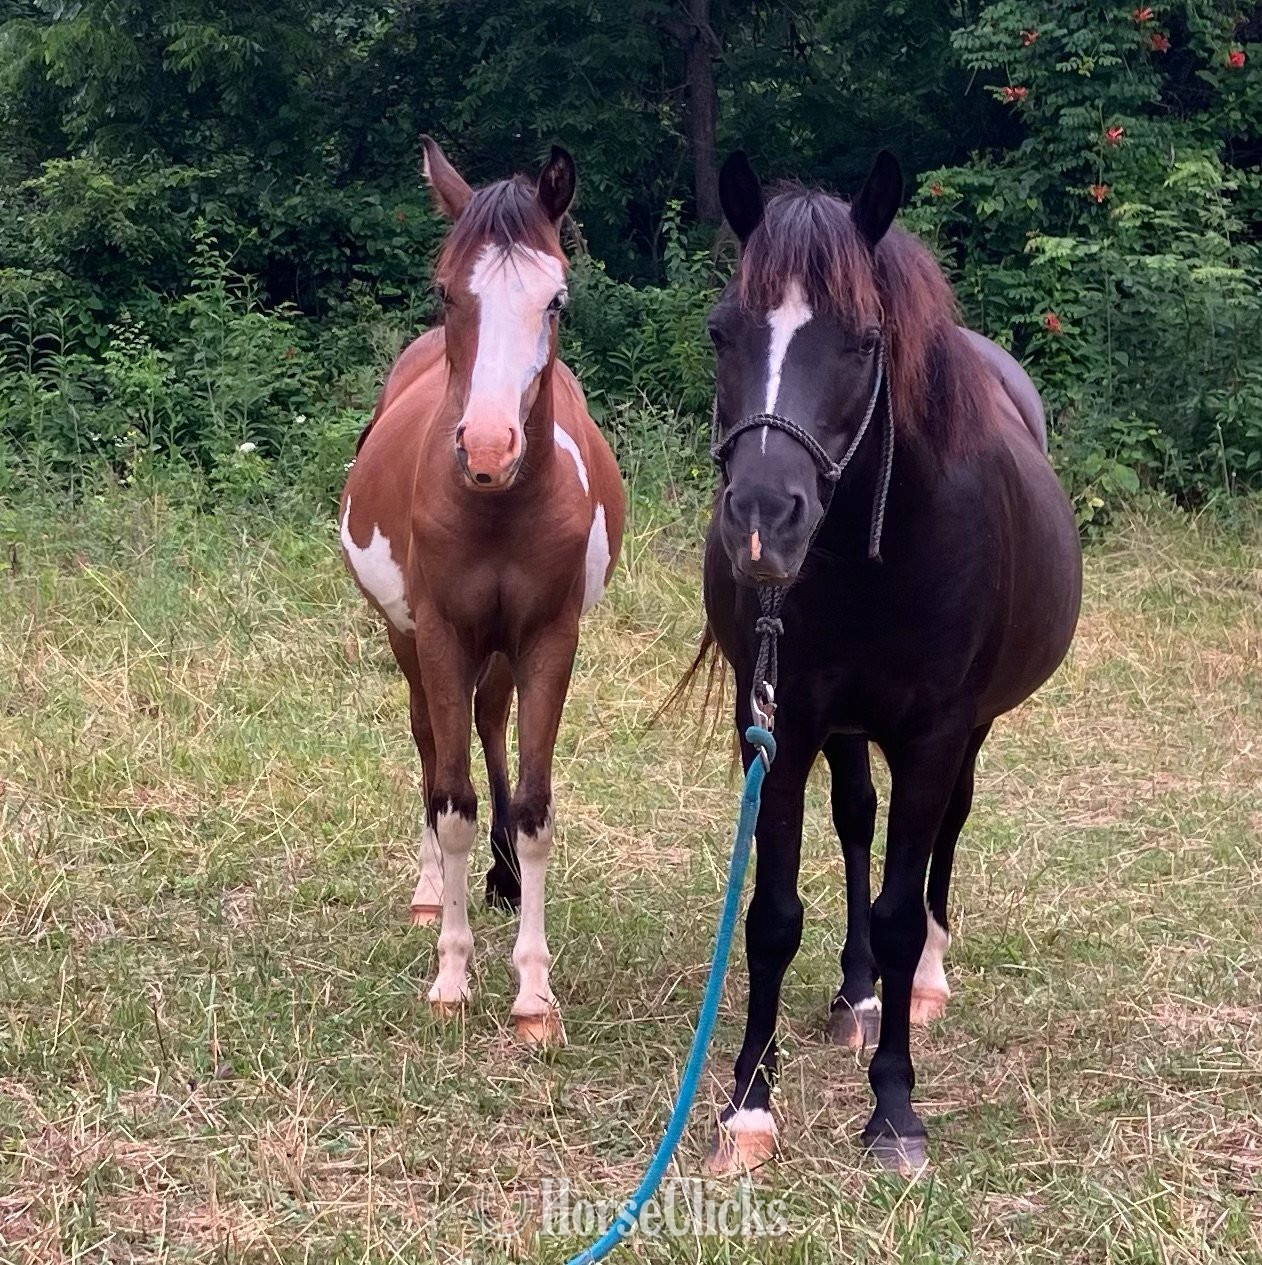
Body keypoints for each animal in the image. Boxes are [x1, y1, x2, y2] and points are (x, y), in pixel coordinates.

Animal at [340, 137, 625, 1045]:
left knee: (489, 723)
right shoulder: (439, 634)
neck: (500, 505)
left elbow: (532, 808)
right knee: (433, 742)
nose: (490, 447)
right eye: (445, 289)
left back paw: (499, 879)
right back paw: (435, 891)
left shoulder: (548, 639)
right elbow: (452, 798)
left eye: (556, 296)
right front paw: (453, 976)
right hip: (407, 639)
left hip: (500, 651)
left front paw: (533, 992)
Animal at [694, 149, 1082, 1172]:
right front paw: (749, 1099)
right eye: (722, 331)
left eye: (864, 340)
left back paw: (923, 982)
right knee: (857, 819)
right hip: (843, 725)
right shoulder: (782, 723)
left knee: (945, 832)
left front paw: (895, 1108)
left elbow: (905, 907)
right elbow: (773, 913)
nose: (763, 519)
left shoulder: (936, 730)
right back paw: (857, 990)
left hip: (967, 732)